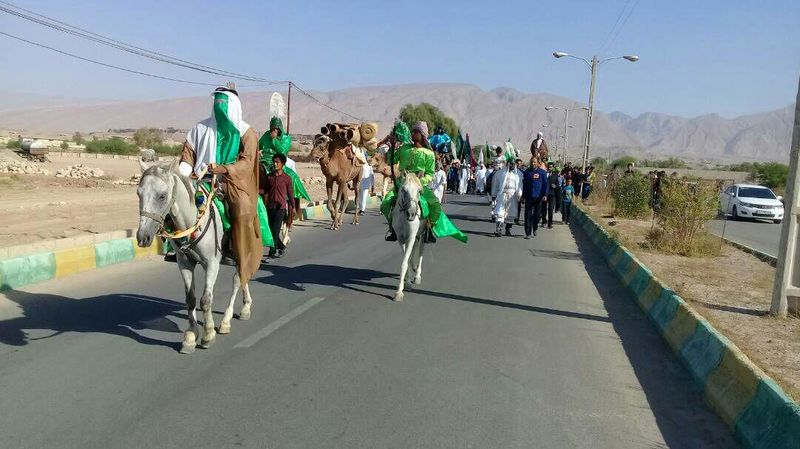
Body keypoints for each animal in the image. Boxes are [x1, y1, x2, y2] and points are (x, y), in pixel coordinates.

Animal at [134, 158, 253, 354]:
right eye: (139, 193)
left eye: (162, 196)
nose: (143, 237)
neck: (191, 220)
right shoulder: (184, 263)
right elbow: (190, 300)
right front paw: (190, 337)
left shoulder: (212, 263)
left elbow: (206, 300)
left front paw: (208, 335)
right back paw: (244, 307)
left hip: (241, 249)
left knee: (238, 279)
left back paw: (229, 319)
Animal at [392, 172, 428, 300]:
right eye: (403, 190)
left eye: (419, 191)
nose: (412, 214)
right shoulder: (401, 239)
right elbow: (406, 261)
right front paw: (406, 284)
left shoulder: (411, 237)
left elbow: (405, 262)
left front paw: (399, 292)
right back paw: (414, 268)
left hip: (422, 234)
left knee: (421, 252)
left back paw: (417, 275)